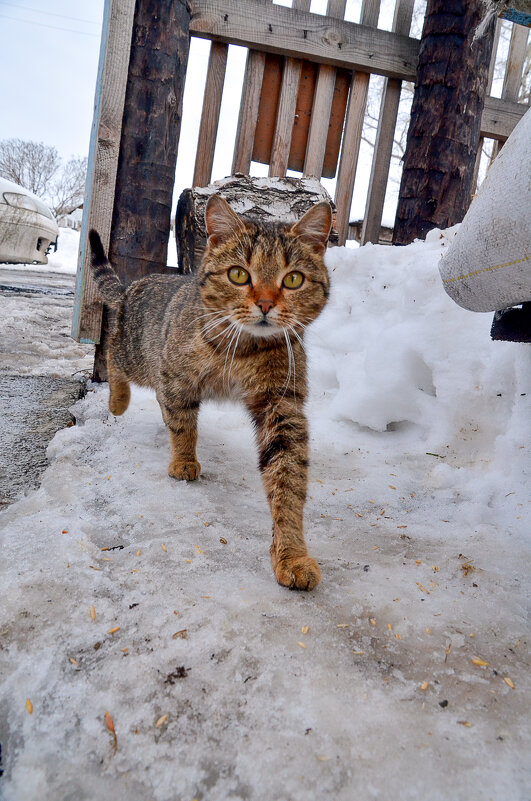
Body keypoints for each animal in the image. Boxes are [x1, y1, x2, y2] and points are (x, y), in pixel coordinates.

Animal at [90, 194, 332, 588]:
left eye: (293, 279)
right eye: (239, 274)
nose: (266, 304)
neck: (243, 348)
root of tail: (131, 286)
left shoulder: (280, 405)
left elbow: (288, 479)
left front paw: (291, 554)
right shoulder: (176, 378)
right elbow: (183, 425)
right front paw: (184, 460)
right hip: (137, 355)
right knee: (112, 354)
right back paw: (117, 401)